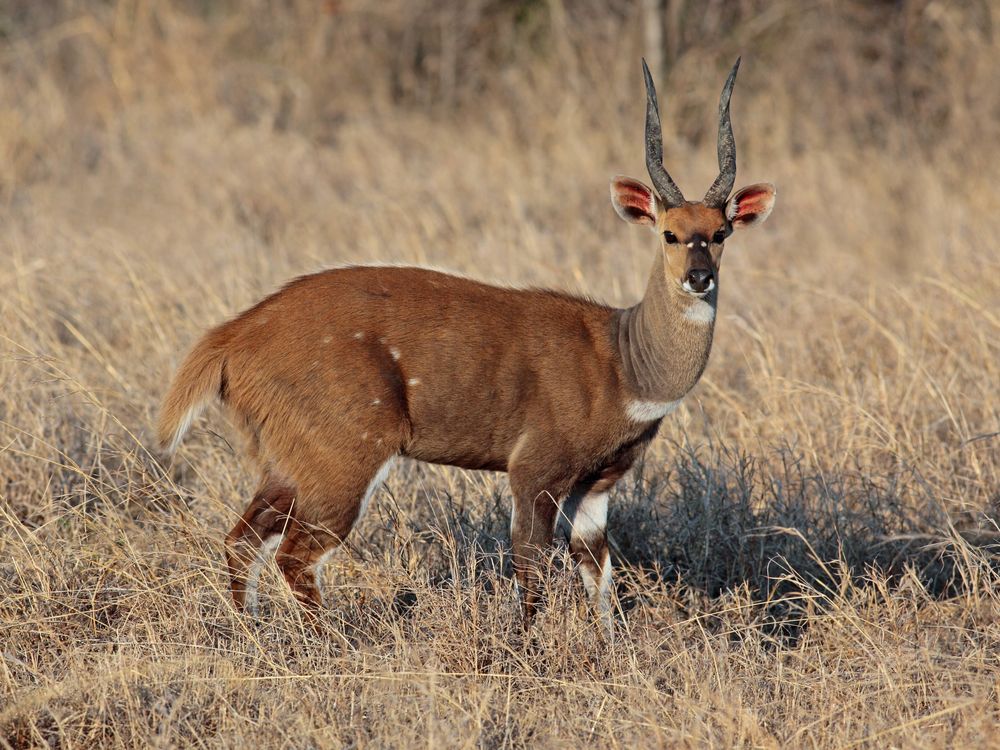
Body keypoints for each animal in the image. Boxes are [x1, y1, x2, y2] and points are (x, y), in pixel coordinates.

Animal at [160, 60, 776, 628]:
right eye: (669, 233)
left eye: (720, 233)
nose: (699, 277)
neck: (623, 363)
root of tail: (235, 336)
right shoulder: (534, 471)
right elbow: (531, 569)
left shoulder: (597, 487)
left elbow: (598, 577)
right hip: (344, 456)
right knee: (295, 555)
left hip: (287, 464)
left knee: (242, 540)